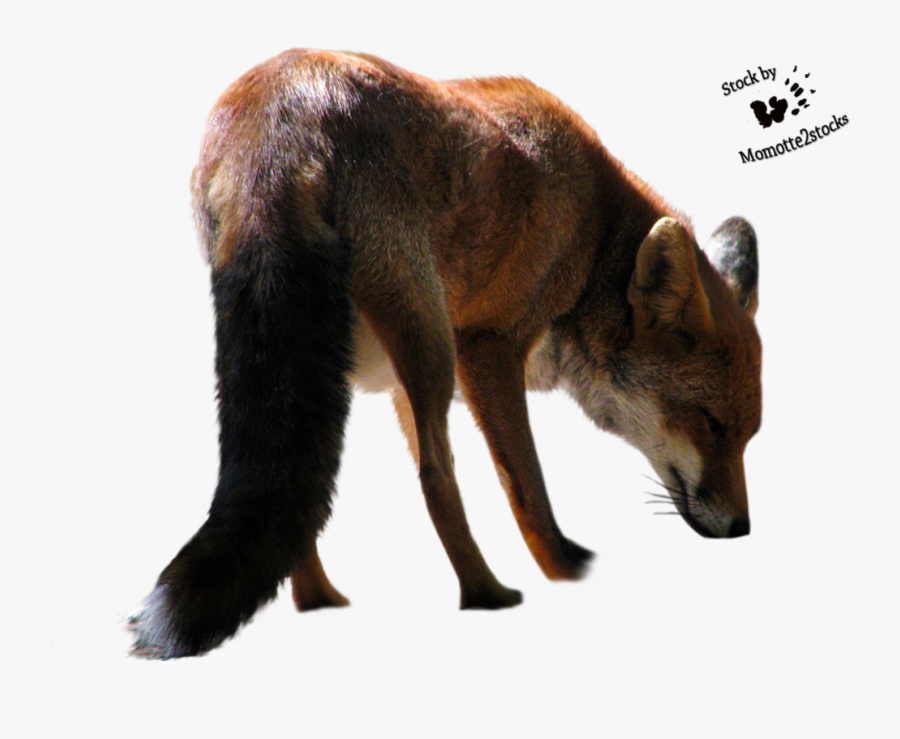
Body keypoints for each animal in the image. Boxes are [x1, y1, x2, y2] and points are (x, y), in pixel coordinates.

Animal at [129, 49, 762, 659]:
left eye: (748, 436)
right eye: (710, 425)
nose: (741, 529)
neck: (593, 240)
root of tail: (279, 117)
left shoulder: (399, 385)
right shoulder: (488, 348)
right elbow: (528, 493)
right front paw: (566, 572)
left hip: (374, 361)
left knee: (308, 491)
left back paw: (320, 601)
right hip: (432, 344)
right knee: (435, 476)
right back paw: (488, 596)